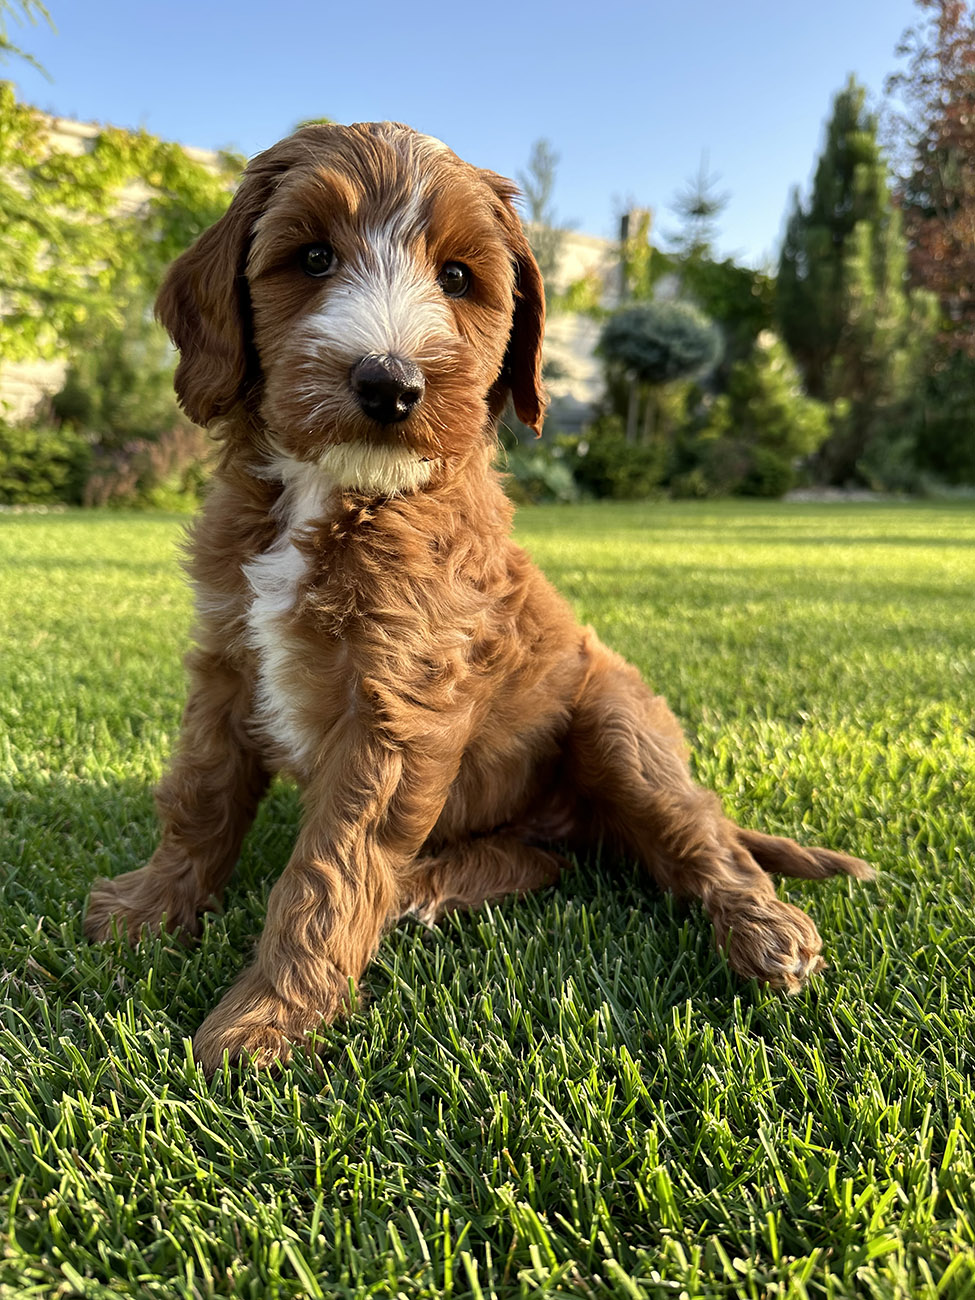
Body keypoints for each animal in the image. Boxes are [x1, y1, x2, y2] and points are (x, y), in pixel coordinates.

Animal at [85, 122, 878, 1076]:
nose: (389, 385)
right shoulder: (228, 658)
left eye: (459, 278)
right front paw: (151, 907)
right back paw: (425, 886)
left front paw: (267, 1019)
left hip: (618, 723)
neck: (342, 492)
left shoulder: (397, 702)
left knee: (700, 836)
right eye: (311, 258)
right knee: (544, 861)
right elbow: (201, 793)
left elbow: (329, 867)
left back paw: (765, 931)